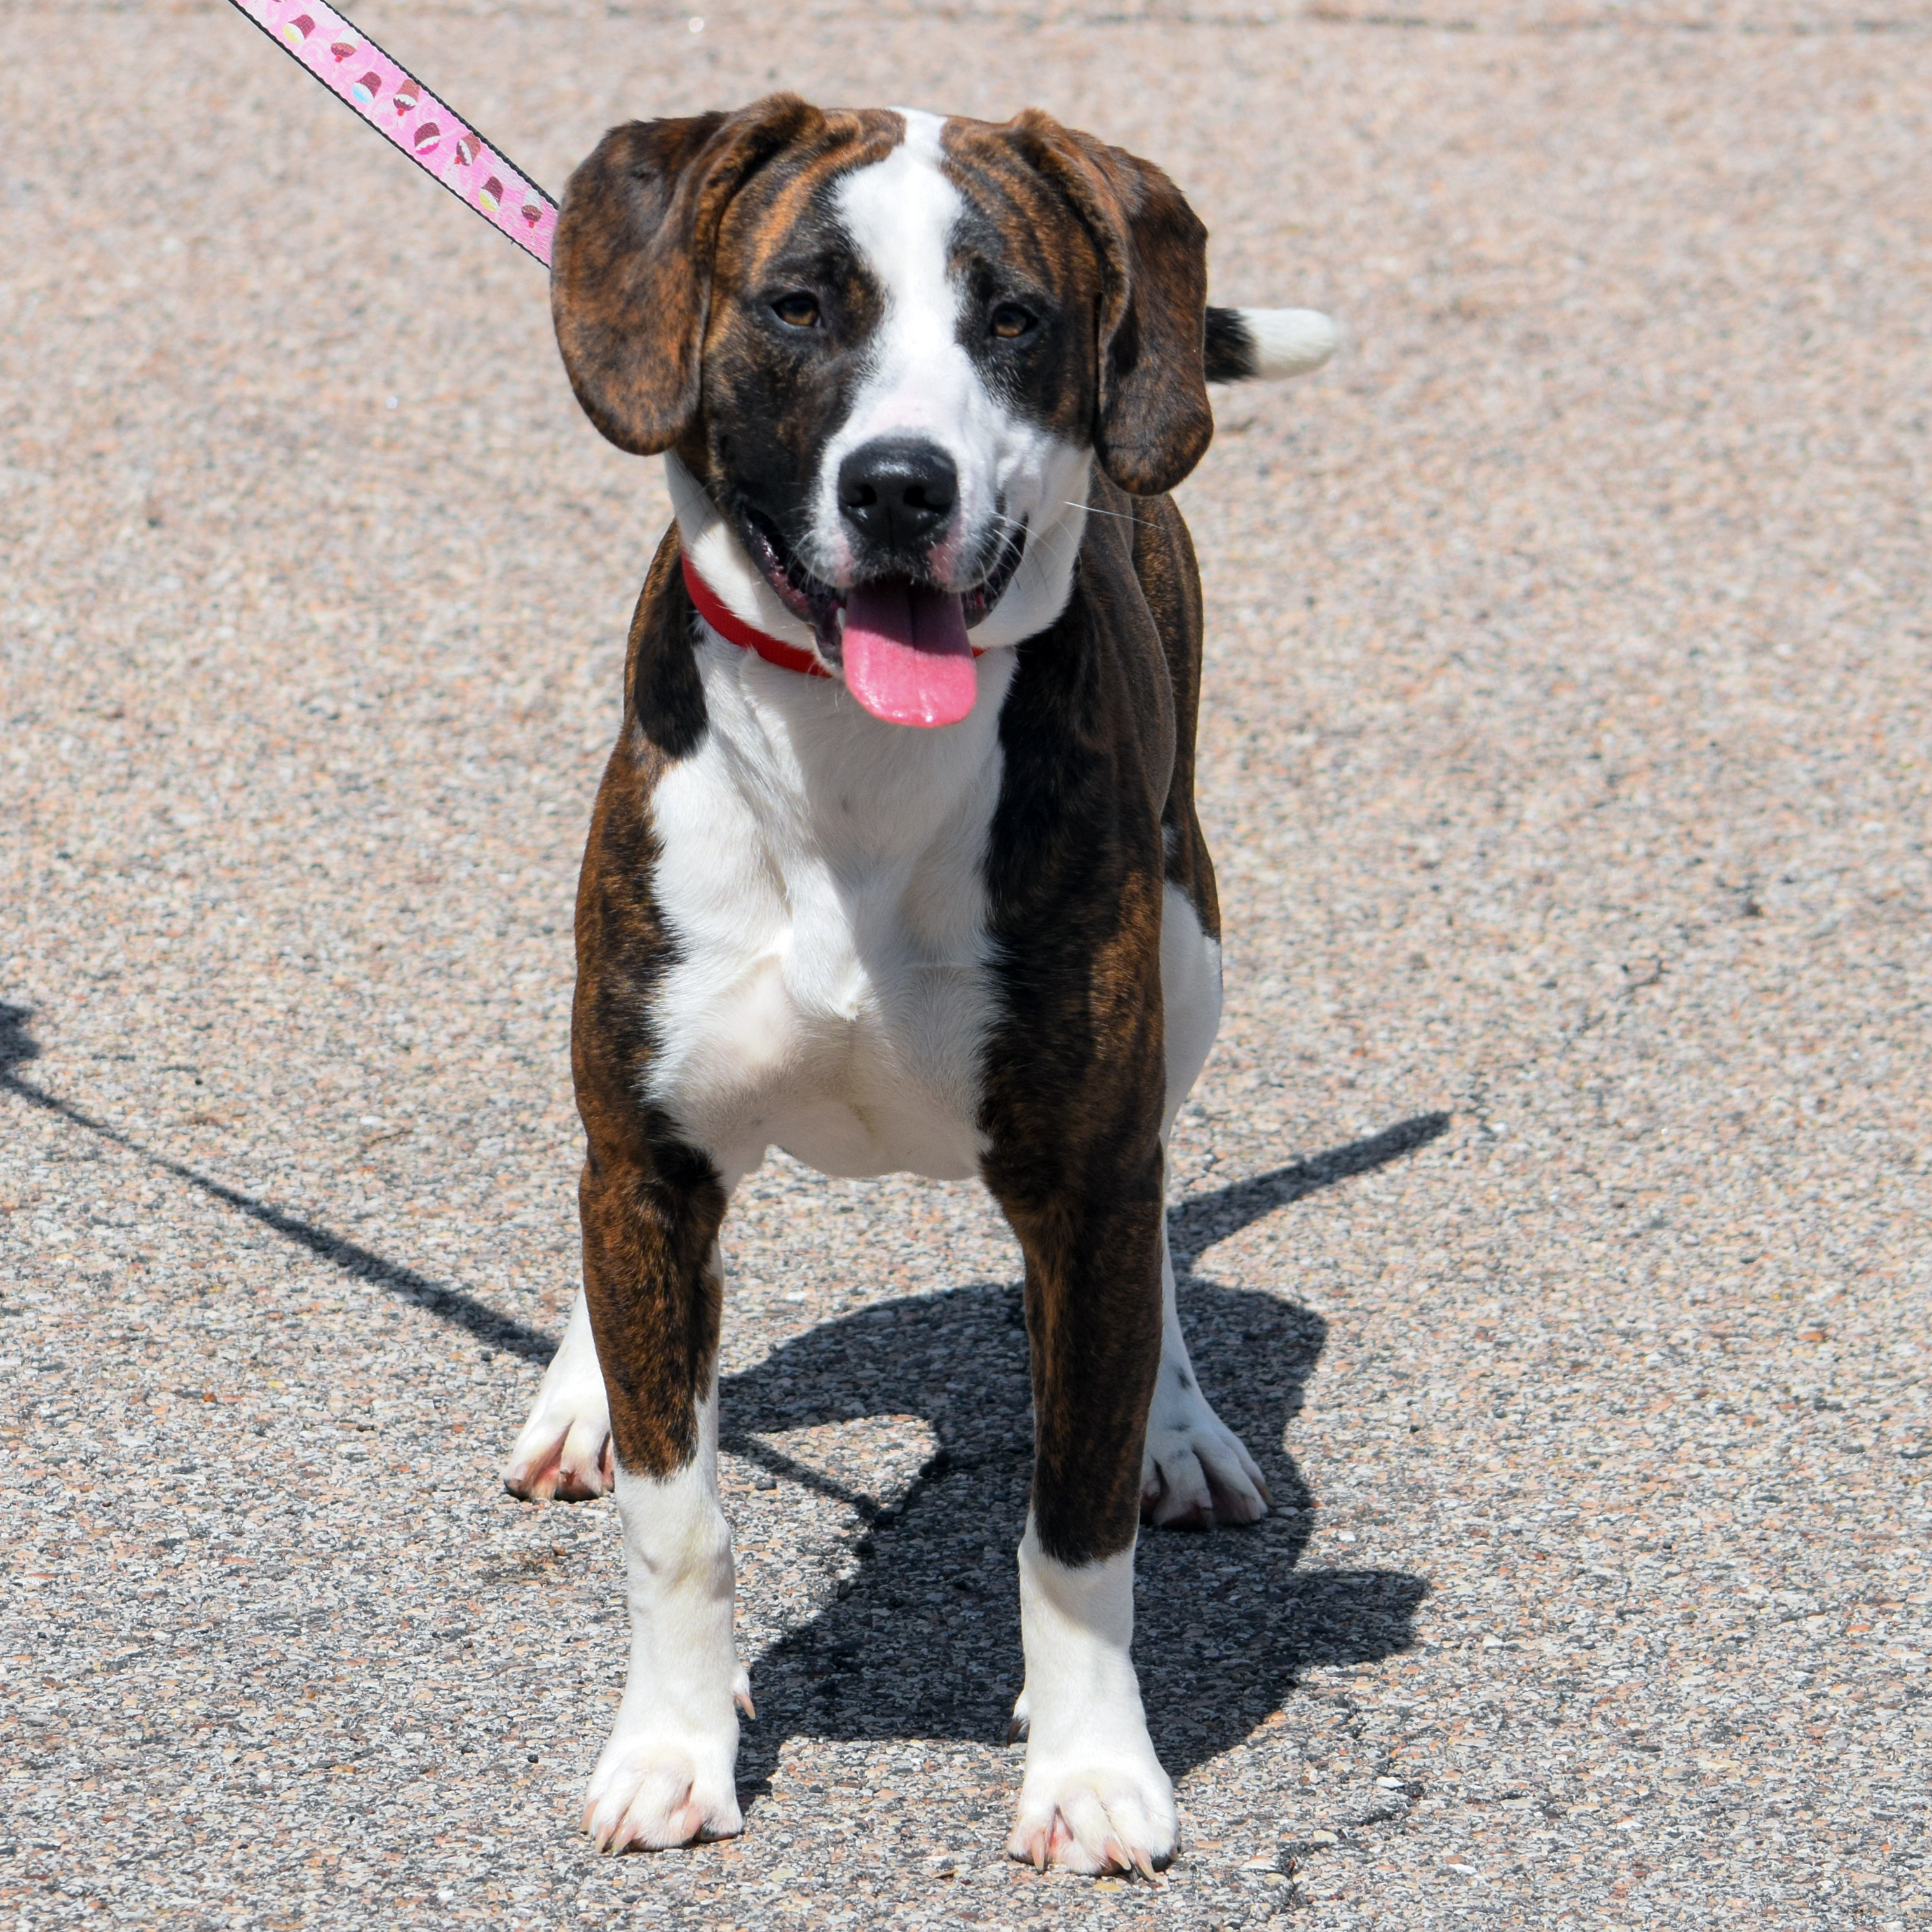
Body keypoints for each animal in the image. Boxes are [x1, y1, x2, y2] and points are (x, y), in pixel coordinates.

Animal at [506, 102, 1337, 1870]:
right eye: (798, 305)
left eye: (1010, 319)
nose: (899, 485)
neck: (853, 767)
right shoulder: (655, 1158)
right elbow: (678, 1517)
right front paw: (671, 1746)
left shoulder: (1083, 1175)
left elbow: (1074, 1531)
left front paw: (1089, 1771)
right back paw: (583, 1388)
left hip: (1190, 956)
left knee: (1160, 1228)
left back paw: (1180, 1426)